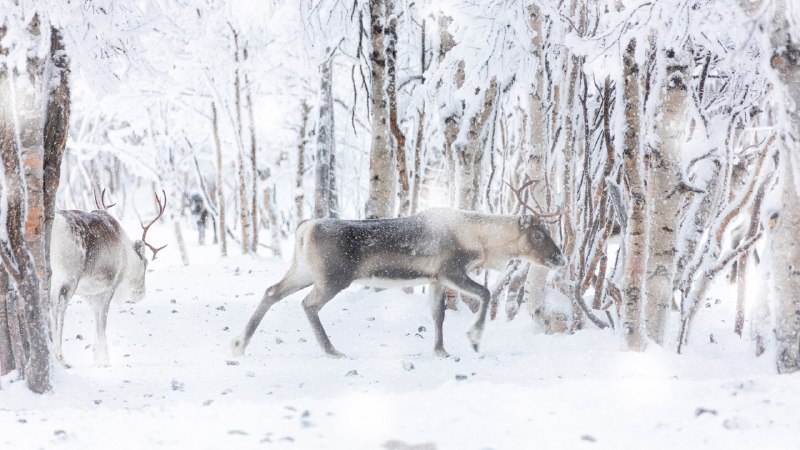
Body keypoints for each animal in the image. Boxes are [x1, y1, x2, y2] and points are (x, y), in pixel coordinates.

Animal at [49, 190, 167, 367]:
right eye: (145, 263)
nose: (141, 294)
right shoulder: (110, 286)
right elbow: (102, 322)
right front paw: (104, 360)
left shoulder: (89, 293)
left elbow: (97, 319)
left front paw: (97, 356)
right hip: (67, 277)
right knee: (58, 307)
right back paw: (60, 356)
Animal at [231, 206, 566, 359]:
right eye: (538, 235)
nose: (560, 259)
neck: (482, 241)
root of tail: (304, 227)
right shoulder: (450, 270)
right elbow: (484, 292)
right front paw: (473, 337)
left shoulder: (435, 279)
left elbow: (438, 315)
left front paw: (441, 351)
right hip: (333, 278)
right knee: (308, 304)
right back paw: (331, 350)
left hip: (303, 271)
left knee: (272, 291)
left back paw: (239, 344)